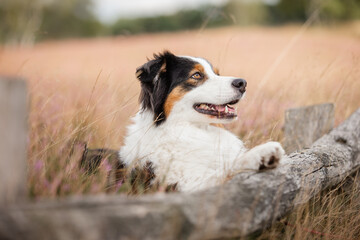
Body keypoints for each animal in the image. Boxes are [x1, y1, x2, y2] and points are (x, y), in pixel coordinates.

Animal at [119, 51, 286, 192]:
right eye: (197, 75)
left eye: (217, 74)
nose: (242, 83)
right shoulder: (183, 185)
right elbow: (225, 169)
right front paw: (260, 153)